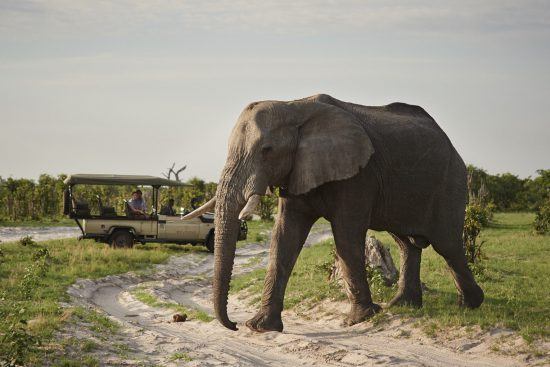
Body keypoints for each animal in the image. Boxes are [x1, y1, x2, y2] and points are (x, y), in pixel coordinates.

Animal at [187, 92, 488, 334]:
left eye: (267, 150)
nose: (234, 325)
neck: (293, 106)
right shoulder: (298, 170)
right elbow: (284, 236)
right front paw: (261, 327)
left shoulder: (358, 174)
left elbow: (346, 235)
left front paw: (358, 320)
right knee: (407, 243)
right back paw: (402, 305)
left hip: (451, 182)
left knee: (447, 244)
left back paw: (470, 305)